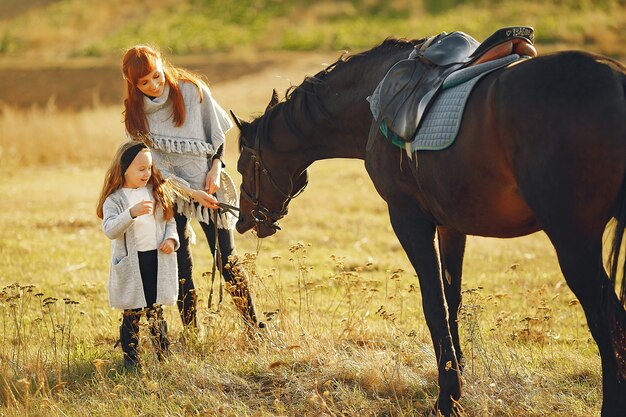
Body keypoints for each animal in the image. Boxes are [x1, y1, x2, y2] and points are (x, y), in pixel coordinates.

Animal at [232, 37, 624, 414]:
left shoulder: (408, 219)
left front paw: (448, 397)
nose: (243, 221)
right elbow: (452, 301)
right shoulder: (452, 226)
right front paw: (458, 374)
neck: (373, 99)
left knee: (606, 319)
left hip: (574, 243)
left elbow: (433, 305)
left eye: (241, 166)